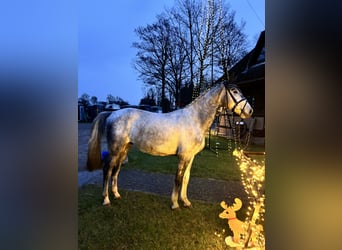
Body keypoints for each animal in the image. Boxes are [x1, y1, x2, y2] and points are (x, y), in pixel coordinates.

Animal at [87, 82, 252, 209]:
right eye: (235, 91)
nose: (250, 111)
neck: (194, 120)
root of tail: (111, 114)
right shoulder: (183, 157)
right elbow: (178, 179)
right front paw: (175, 204)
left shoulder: (191, 157)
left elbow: (186, 178)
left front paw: (186, 202)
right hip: (115, 150)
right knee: (107, 170)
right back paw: (106, 199)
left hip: (124, 150)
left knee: (116, 170)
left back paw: (116, 194)